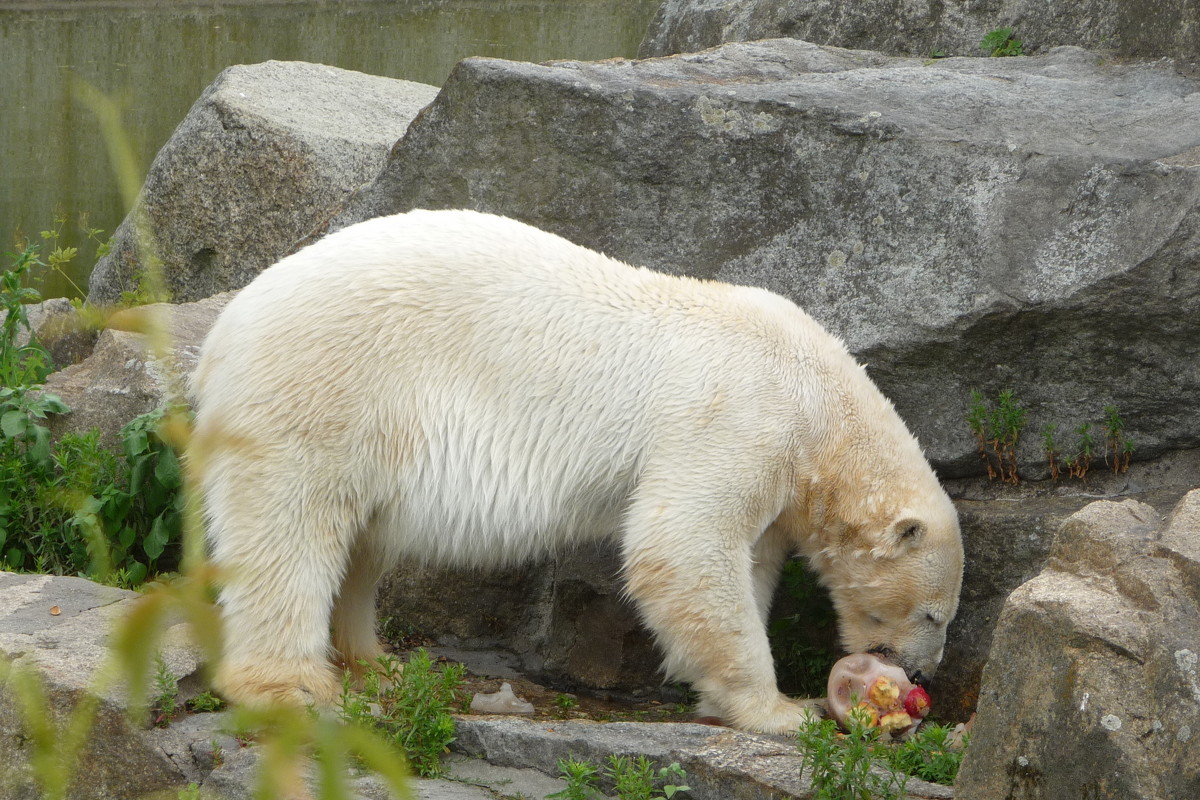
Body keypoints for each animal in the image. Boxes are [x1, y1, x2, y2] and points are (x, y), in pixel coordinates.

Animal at [196, 209, 964, 734]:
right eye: (932, 612)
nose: (921, 672)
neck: (819, 397)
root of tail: (222, 333)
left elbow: (744, 560)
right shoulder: (740, 414)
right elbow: (681, 543)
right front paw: (784, 710)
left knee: (360, 542)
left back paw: (375, 660)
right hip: (324, 389)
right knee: (290, 529)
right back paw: (292, 686)